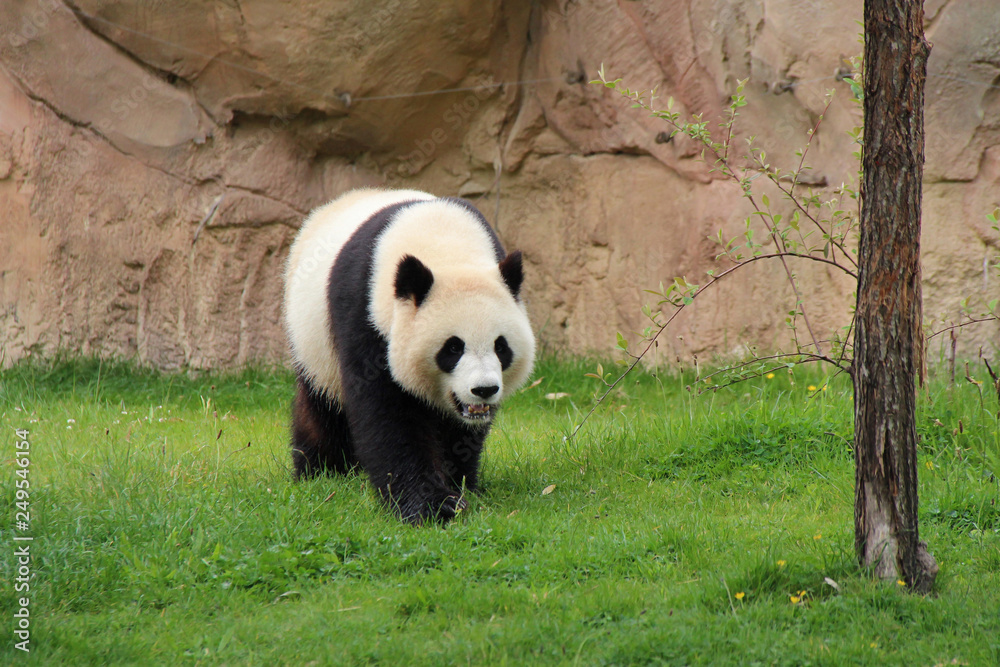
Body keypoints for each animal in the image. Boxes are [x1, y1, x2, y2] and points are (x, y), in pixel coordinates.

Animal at [283, 188, 535, 523]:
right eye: (453, 348)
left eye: (501, 346)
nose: (484, 389)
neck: (444, 244)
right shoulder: (365, 314)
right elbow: (388, 414)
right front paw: (431, 504)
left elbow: (461, 433)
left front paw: (461, 485)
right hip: (312, 342)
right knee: (321, 406)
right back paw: (321, 471)